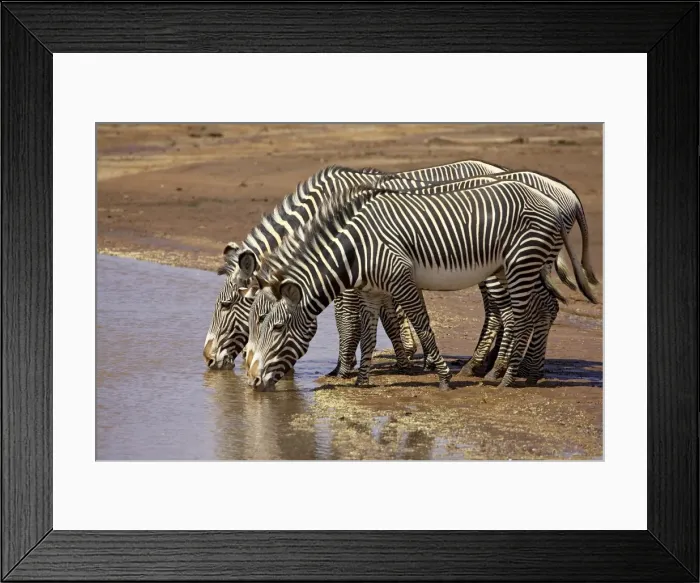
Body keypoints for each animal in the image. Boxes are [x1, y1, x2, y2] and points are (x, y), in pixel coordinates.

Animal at [203, 160, 509, 371]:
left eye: (226, 305)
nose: (207, 359)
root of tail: (496, 167)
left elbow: (346, 318)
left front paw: (344, 367)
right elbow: (386, 315)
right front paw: (404, 360)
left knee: (496, 311)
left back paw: (481, 365)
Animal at [240, 179, 597, 391]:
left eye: (277, 328)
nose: (253, 379)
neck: (355, 251)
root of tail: (553, 202)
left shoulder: (401, 280)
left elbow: (423, 324)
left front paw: (443, 376)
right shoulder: (372, 292)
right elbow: (369, 336)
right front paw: (363, 381)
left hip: (521, 263)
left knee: (523, 315)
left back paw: (505, 378)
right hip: (521, 266)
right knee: (543, 307)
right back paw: (527, 372)